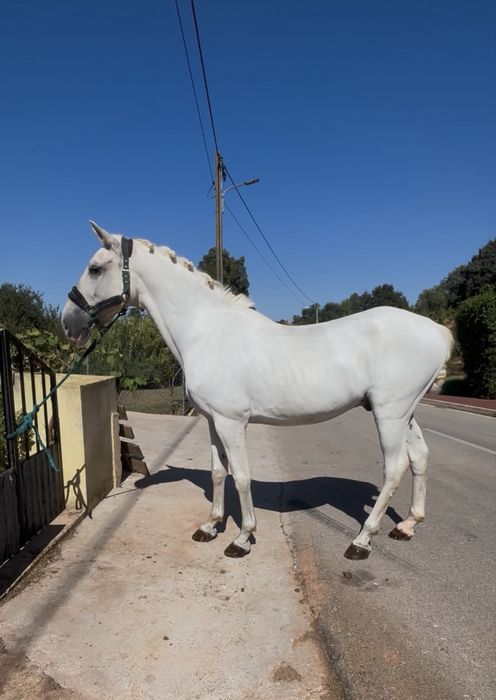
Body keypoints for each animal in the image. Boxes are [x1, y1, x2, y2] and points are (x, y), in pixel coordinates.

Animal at [62, 222, 453, 560]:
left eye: (95, 269)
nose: (67, 322)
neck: (207, 330)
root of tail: (437, 330)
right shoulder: (212, 421)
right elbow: (219, 473)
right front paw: (209, 527)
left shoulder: (231, 422)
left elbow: (242, 476)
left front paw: (242, 538)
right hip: (404, 413)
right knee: (420, 457)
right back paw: (406, 525)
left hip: (390, 413)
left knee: (395, 468)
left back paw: (362, 541)